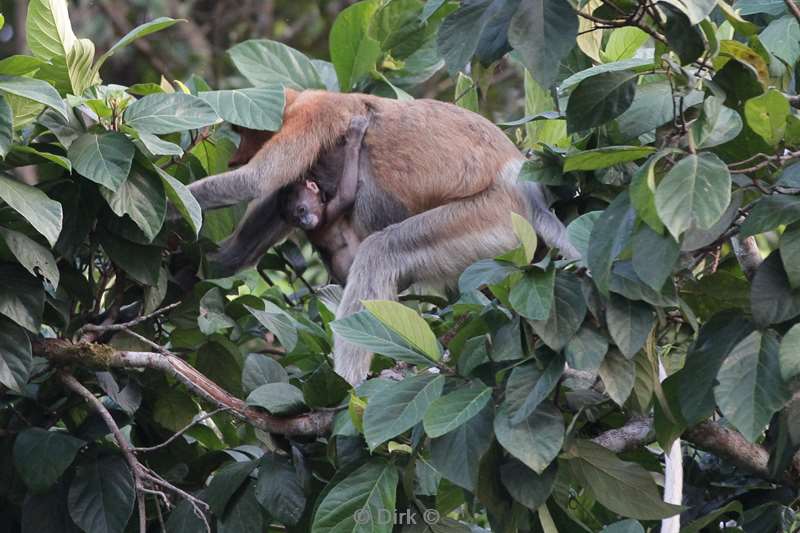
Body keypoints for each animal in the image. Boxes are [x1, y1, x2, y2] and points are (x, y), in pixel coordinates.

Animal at [280, 115, 370, 282]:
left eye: (301, 210)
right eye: (296, 220)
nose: (304, 221)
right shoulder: (327, 215)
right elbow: (346, 195)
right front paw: (354, 138)